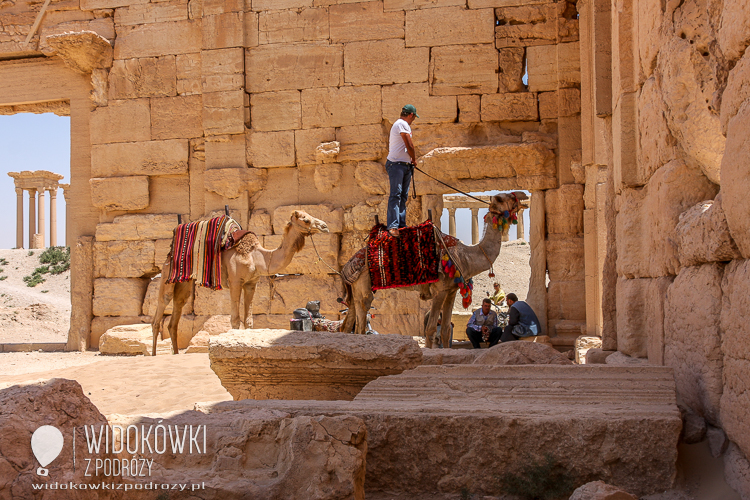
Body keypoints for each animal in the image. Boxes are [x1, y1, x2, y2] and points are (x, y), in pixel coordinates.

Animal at [151, 209, 328, 354]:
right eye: (306, 220)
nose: (325, 226)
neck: (256, 257)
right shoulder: (235, 281)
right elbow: (235, 320)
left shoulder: (251, 283)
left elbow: (249, 320)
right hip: (168, 274)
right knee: (160, 310)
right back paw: (153, 354)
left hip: (184, 281)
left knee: (176, 312)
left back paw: (174, 354)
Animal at [342, 191, 528, 348]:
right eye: (502, 198)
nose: (523, 195)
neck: (465, 257)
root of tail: (348, 265)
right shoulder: (439, 291)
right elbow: (431, 328)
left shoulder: (451, 291)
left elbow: (446, 329)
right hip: (363, 287)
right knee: (360, 323)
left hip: (357, 289)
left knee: (350, 324)